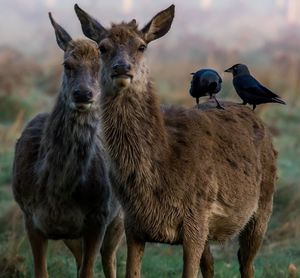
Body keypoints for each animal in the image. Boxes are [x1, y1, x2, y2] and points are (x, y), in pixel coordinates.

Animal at [12, 13, 123, 278]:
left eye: (101, 66)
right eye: (67, 64)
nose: (83, 94)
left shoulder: (100, 215)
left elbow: (88, 271)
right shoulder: (30, 216)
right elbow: (42, 271)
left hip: (120, 217)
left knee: (111, 261)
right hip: (71, 235)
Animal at [76, 4, 278, 278]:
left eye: (142, 46)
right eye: (102, 47)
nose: (121, 67)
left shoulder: (196, 218)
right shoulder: (134, 224)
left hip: (263, 205)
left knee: (247, 263)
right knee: (211, 265)